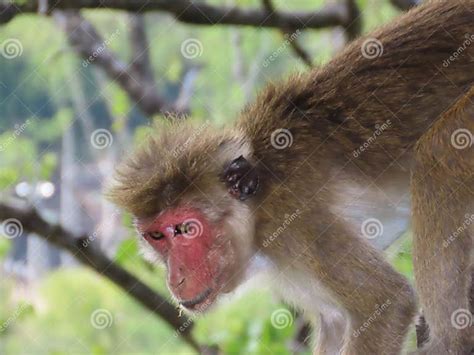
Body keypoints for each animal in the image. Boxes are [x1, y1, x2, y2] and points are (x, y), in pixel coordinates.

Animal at [107, 1, 474, 354]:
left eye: (186, 229)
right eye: (157, 236)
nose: (176, 278)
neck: (256, 209)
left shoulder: (296, 222)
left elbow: (386, 301)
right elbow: (335, 322)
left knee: (439, 150)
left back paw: (449, 341)